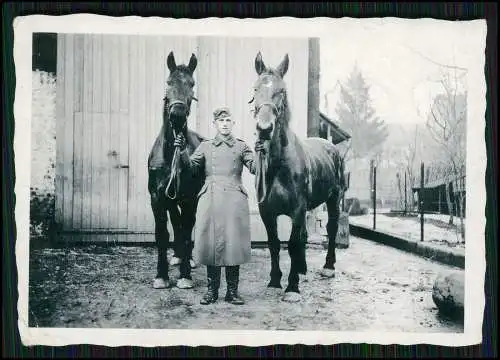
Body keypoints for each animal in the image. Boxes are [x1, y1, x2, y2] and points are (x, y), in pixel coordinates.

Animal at [250, 52, 348, 300]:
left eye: (282, 91)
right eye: (255, 89)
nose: (264, 128)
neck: (279, 164)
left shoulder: (296, 210)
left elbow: (293, 244)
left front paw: (292, 288)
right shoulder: (267, 212)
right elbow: (275, 243)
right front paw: (275, 281)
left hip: (334, 199)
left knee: (332, 228)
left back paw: (328, 267)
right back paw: (302, 270)